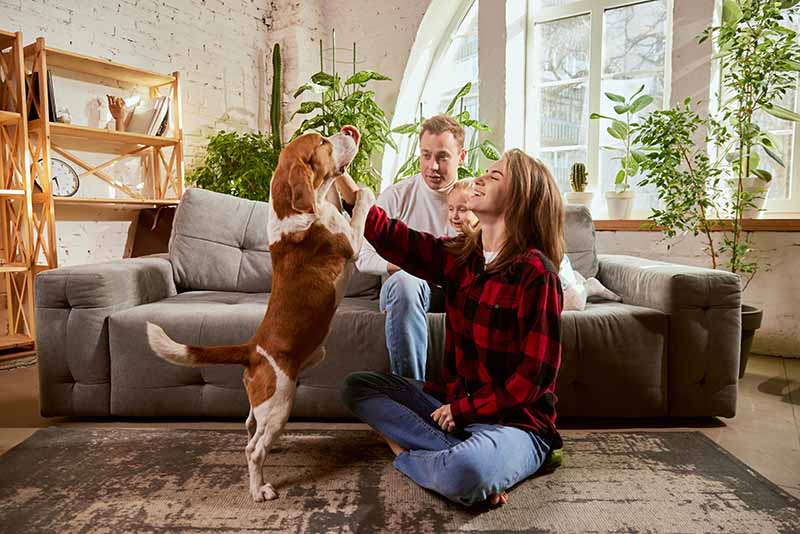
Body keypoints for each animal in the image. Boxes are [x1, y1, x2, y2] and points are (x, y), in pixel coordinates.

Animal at [146, 125, 376, 502]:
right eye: (322, 141)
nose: (348, 129)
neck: (294, 211)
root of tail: (252, 349)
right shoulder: (352, 243)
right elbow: (361, 208)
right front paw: (362, 192)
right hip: (281, 402)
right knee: (253, 449)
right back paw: (259, 489)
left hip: (270, 402)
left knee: (250, 426)